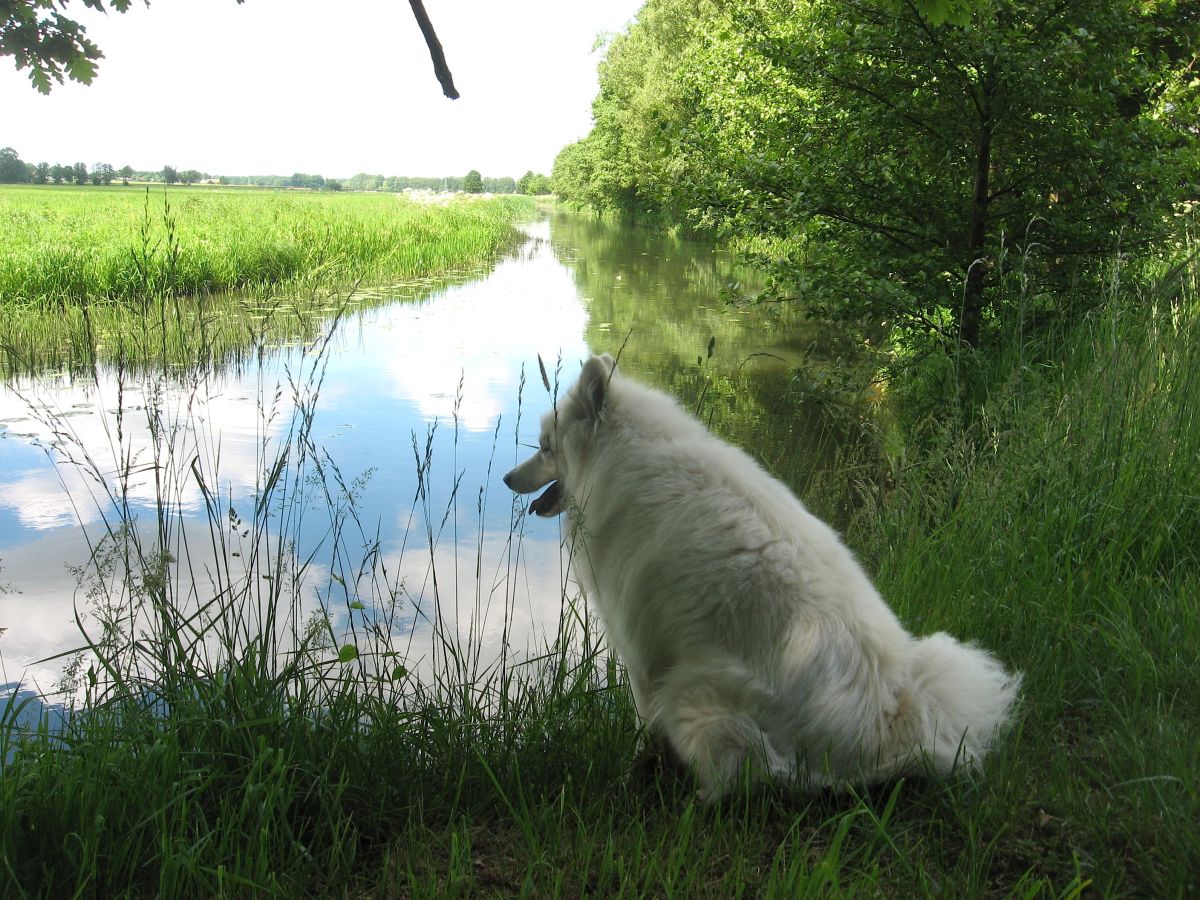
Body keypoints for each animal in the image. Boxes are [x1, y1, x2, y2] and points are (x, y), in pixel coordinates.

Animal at [501, 355, 1017, 801]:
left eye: (545, 448)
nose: (506, 479)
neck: (619, 458)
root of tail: (887, 728)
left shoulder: (640, 647)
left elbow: (642, 722)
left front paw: (634, 769)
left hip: (692, 692)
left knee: (742, 778)